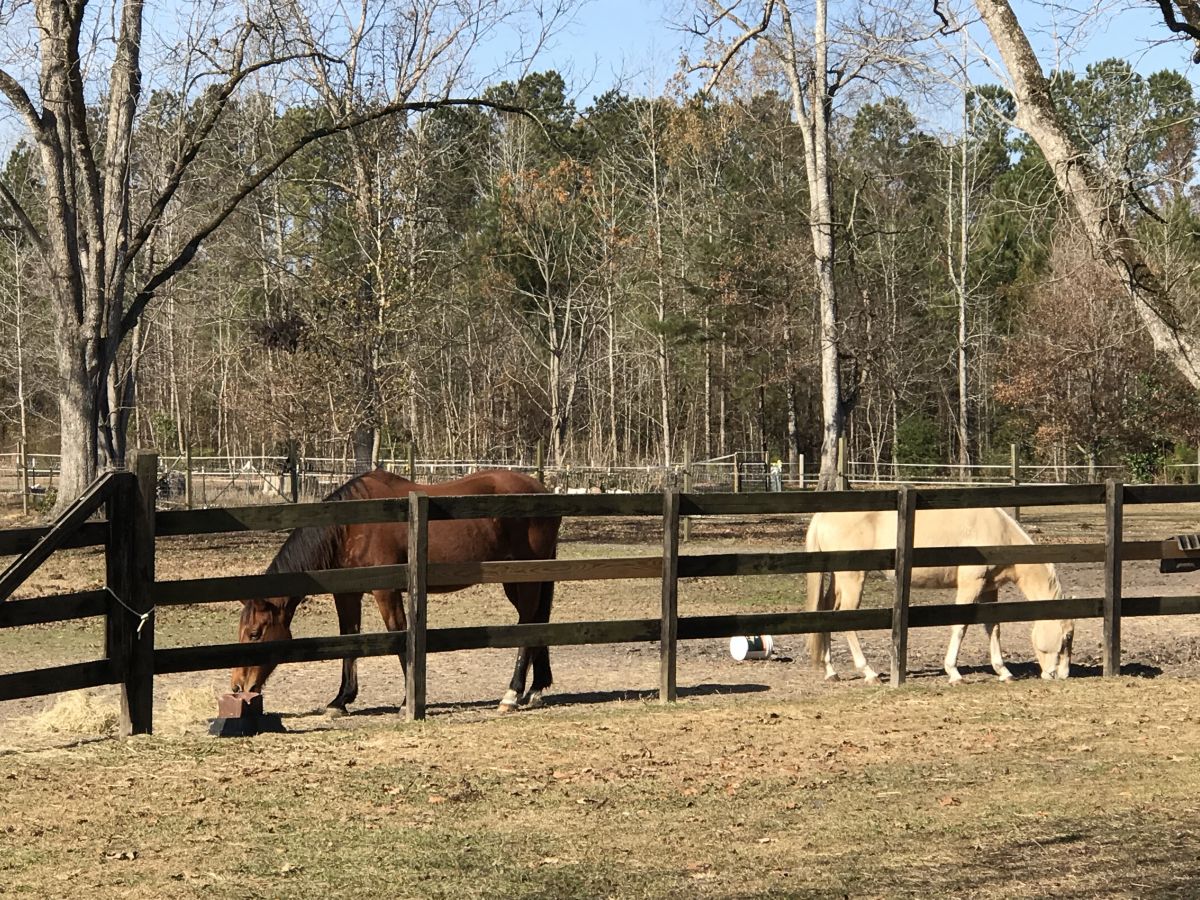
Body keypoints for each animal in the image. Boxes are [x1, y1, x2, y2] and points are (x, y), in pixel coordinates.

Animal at [231, 468, 559, 715]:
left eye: (255, 634)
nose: (238, 686)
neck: (351, 525)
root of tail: (541, 490)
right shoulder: (347, 593)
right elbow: (349, 638)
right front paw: (341, 700)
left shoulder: (385, 590)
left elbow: (399, 634)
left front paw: (406, 702)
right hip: (516, 580)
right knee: (536, 623)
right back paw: (535, 689)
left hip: (527, 578)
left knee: (528, 625)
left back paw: (511, 694)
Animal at [806, 508, 1080, 681]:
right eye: (1066, 637)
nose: (1062, 675)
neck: (996, 532)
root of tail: (822, 517)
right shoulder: (971, 585)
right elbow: (960, 626)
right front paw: (953, 673)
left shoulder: (989, 588)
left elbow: (993, 627)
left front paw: (1003, 672)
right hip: (853, 578)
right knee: (846, 619)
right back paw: (869, 673)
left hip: (840, 580)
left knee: (827, 612)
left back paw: (831, 671)